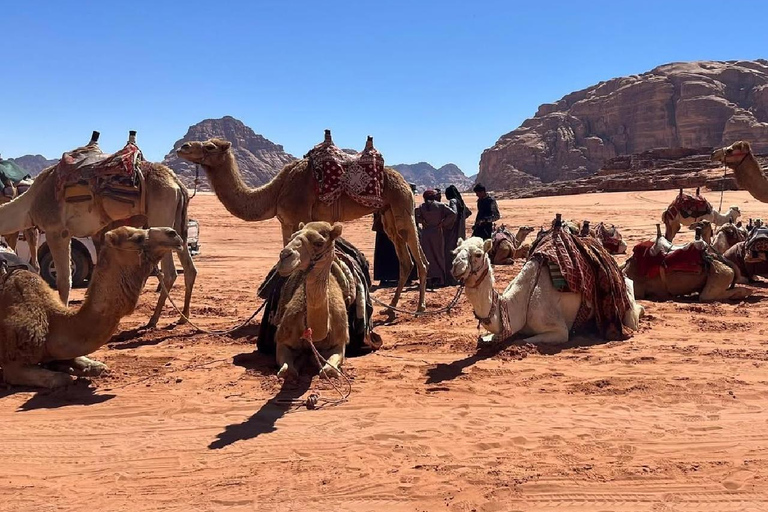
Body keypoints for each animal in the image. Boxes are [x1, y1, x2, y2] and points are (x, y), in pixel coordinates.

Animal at [0, 132, 197, 328]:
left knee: (170, 273)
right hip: (178, 224)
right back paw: (182, 317)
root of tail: (177, 183)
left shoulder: (56, 231)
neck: (29, 206)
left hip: (161, 216)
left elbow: (64, 281)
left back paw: (153, 320)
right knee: (190, 268)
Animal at [0, 226, 183, 388]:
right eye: (137, 238)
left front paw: (82, 366)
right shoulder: (12, 364)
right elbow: (61, 379)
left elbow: (97, 366)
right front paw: (65, 370)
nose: (174, 234)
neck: (52, 321)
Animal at [176, 134, 428, 311]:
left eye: (210, 147)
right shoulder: (286, 223)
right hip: (387, 215)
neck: (276, 191)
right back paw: (392, 309)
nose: (183, 147)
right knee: (405, 259)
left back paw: (419, 307)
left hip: (403, 206)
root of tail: (406, 182)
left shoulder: (299, 218)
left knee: (420, 259)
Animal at [273, 222, 349, 379]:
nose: (285, 256)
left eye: (319, 243)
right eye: (292, 237)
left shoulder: (340, 340)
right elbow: (287, 371)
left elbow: (330, 370)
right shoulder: (282, 338)